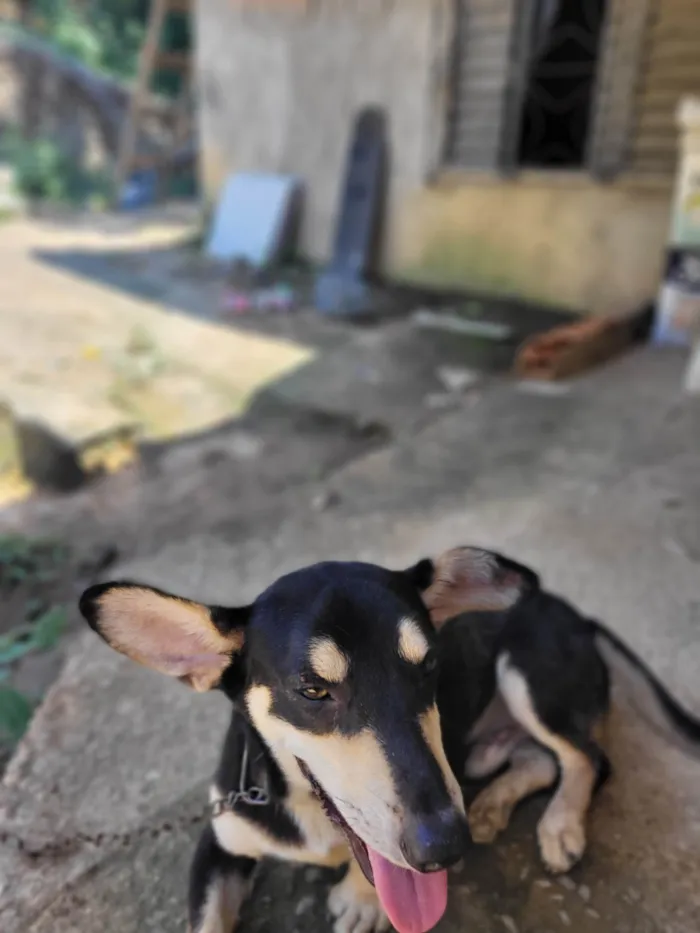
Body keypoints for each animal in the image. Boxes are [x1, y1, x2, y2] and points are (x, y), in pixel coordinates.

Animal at [79, 548, 696, 932]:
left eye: (430, 666)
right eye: (312, 689)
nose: (445, 848)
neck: (306, 810)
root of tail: (576, 613)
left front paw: (360, 896)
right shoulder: (220, 842)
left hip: (526, 676)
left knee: (586, 756)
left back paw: (560, 823)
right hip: (480, 747)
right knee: (539, 760)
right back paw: (494, 805)